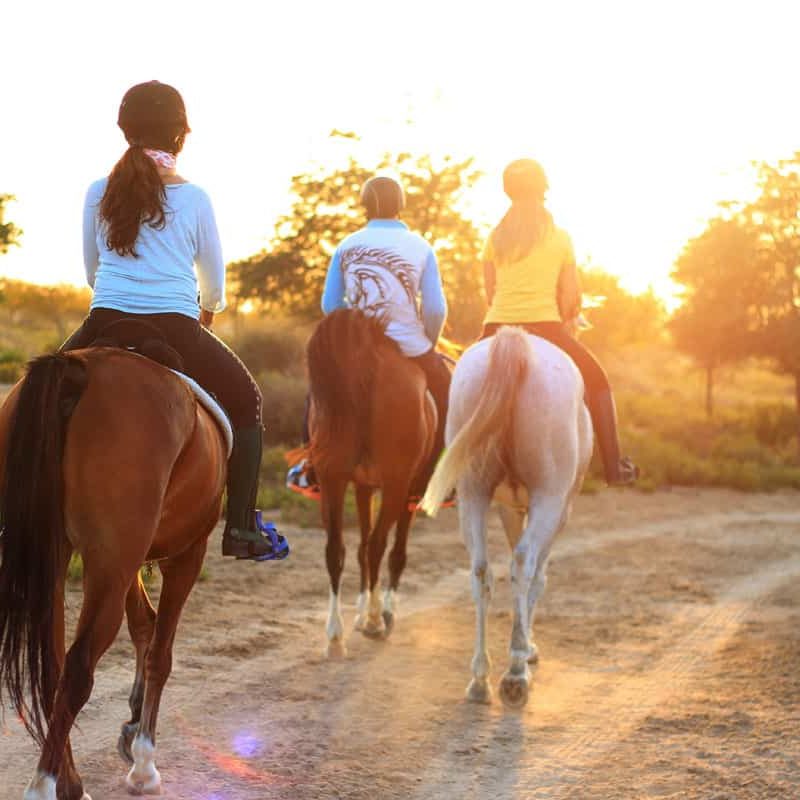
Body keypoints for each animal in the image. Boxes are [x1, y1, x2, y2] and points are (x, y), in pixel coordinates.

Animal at [0, 350, 225, 800]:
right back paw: (44, 784)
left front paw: (132, 727)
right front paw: (143, 762)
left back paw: (69, 782)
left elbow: (144, 626)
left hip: (59, 559)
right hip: (109, 563)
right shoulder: (185, 554)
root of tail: (76, 365)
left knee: (53, 668)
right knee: (77, 670)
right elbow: (159, 652)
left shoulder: (128, 562)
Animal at [302, 308, 434, 656]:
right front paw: (379, 611)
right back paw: (376, 621)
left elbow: (359, 546)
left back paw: (335, 636)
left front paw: (360, 613)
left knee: (336, 549)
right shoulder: (407, 489)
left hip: (332, 479)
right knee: (378, 545)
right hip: (397, 484)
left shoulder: (361, 485)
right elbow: (393, 552)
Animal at [422, 324, 592, 708]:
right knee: (524, 564)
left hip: (472, 493)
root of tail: (515, 342)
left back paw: (480, 679)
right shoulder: (560, 509)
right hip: (549, 498)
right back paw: (515, 673)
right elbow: (538, 576)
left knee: (481, 571)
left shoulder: (508, 506)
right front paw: (528, 647)